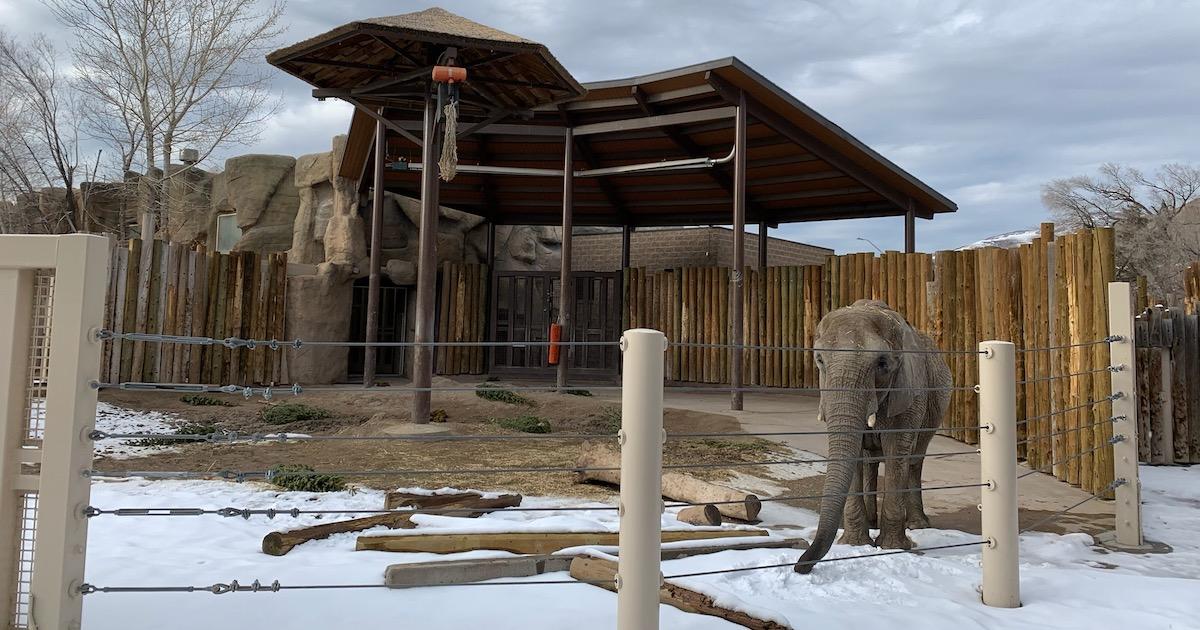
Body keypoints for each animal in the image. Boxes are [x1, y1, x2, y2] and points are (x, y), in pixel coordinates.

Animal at [792, 297, 950, 571]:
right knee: (870, 461)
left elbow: (897, 450)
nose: (800, 566)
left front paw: (893, 547)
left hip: (935, 406)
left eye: (882, 363)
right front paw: (855, 544)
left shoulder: (908, 393)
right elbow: (855, 454)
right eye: (820, 360)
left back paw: (917, 524)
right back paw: (874, 521)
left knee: (914, 459)